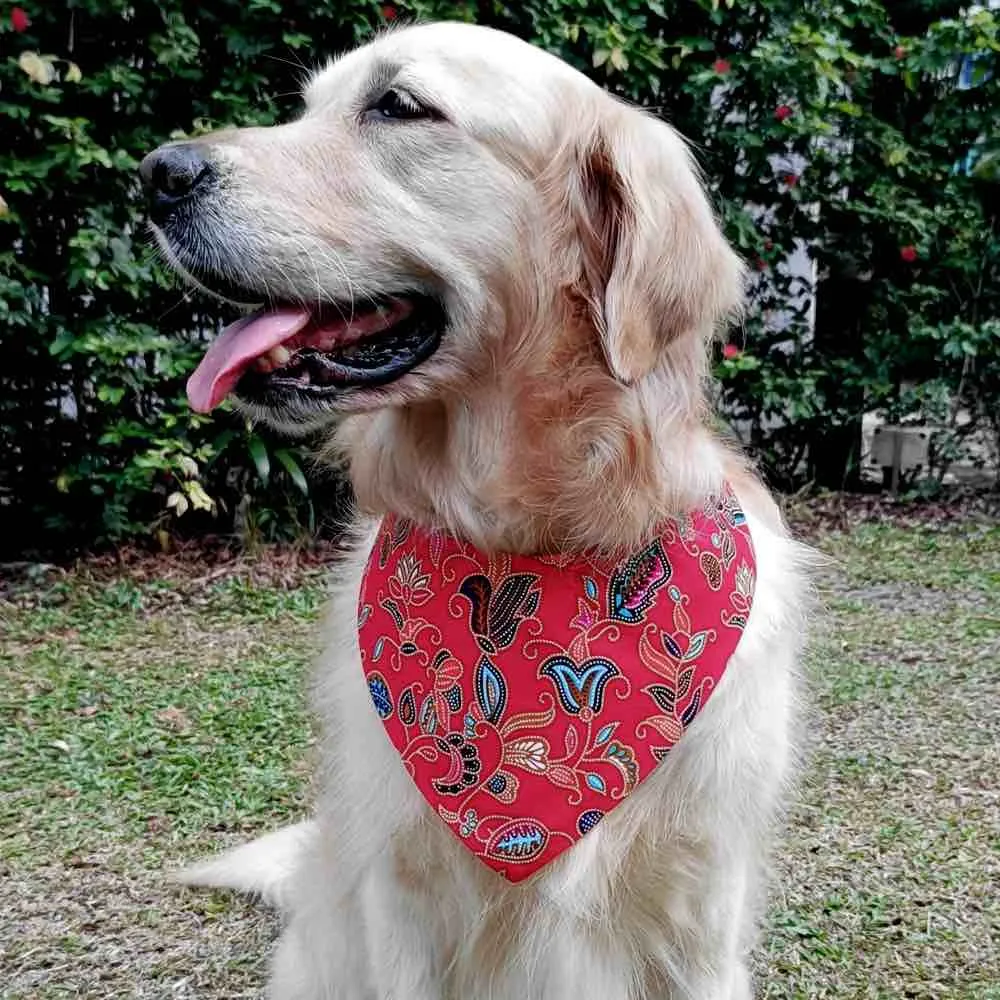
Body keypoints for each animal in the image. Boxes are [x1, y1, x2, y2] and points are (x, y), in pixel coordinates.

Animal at [143, 23, 812, 1000]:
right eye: (305, 107)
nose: (156, 172)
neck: (532, 539)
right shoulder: (403, 908)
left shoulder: (700, 917)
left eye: (399, 106)